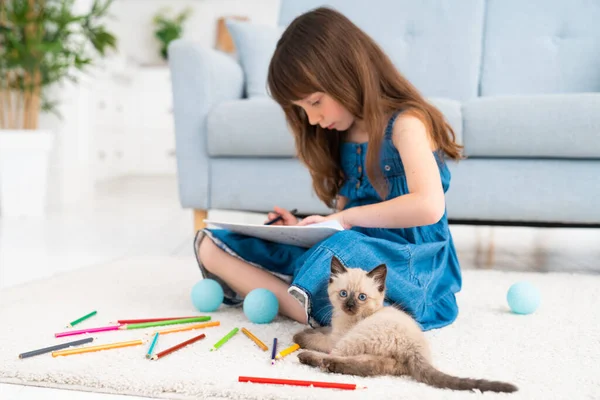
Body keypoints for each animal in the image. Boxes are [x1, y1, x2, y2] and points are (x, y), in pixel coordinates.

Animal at [292, 256, 516, 394]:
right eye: (344, 294)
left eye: (361, 297)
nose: (349, 306)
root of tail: (415, 348)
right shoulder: (333, 329)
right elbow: (320, 329)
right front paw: (309, 328)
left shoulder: (336, 338)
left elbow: (314, 338)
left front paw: (298, 336)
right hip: (385, 360)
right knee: (369, 366)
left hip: (353, 339)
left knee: (335, 356)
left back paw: (308, 357)